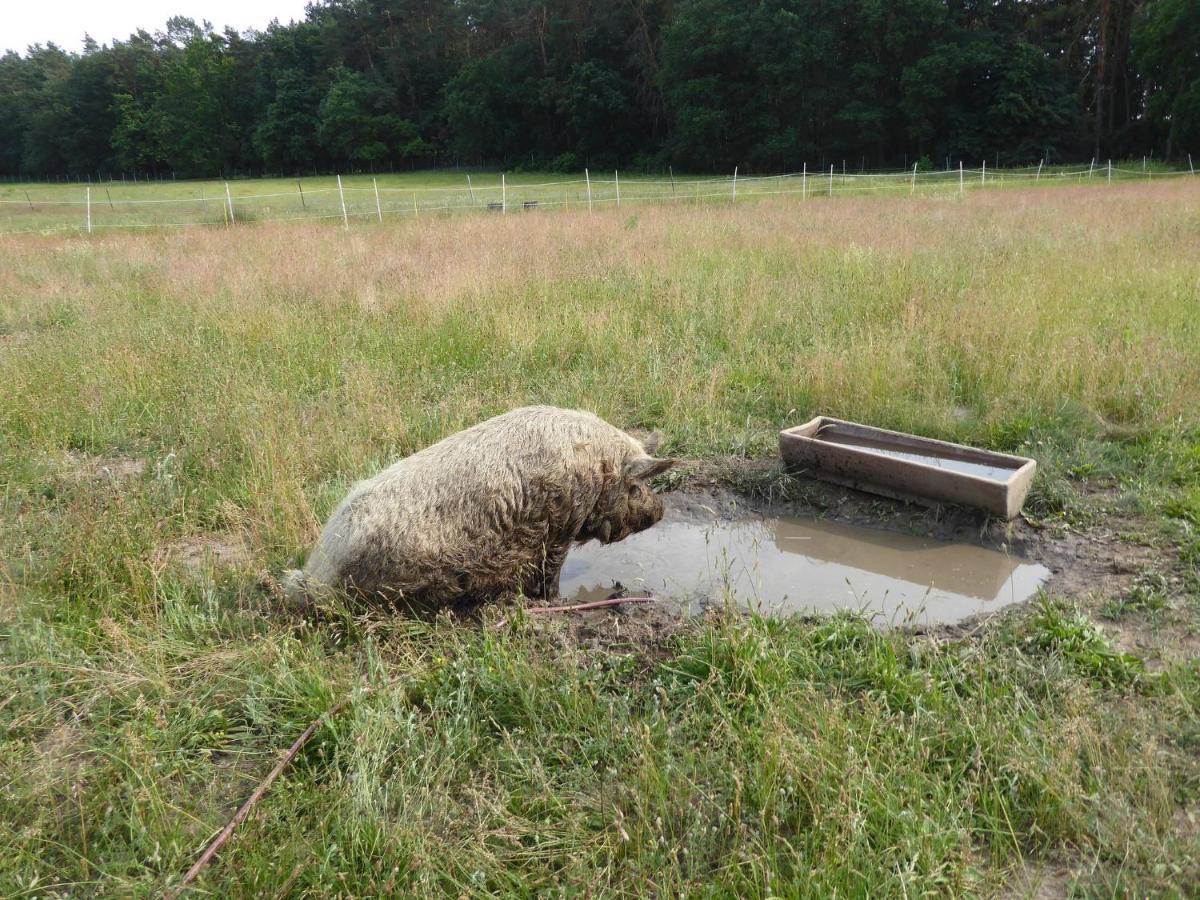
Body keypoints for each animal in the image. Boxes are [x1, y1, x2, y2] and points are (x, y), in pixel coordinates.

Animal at [282, 408, 676, 614]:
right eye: (636, 487)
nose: (661, 510)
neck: (596, 468)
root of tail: (315, 574)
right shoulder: (557, 527)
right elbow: (549, 574)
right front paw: (556, 602)